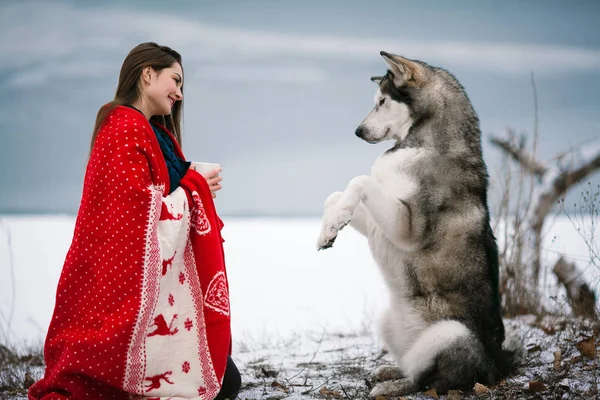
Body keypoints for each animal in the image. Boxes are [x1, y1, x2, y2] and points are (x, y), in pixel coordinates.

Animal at [318, 50, 520, 396]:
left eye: (382, 101)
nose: (358, 131)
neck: (425, 143)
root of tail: (496, 367)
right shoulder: (378, 222)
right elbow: (335, 195)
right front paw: (329, 228)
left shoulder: (405, 226)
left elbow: (359, 180)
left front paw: (335, 219)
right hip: (388, 321)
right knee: (413, 366)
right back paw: (387, 371)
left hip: (450, 333)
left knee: (425, 381)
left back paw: (388, 387)